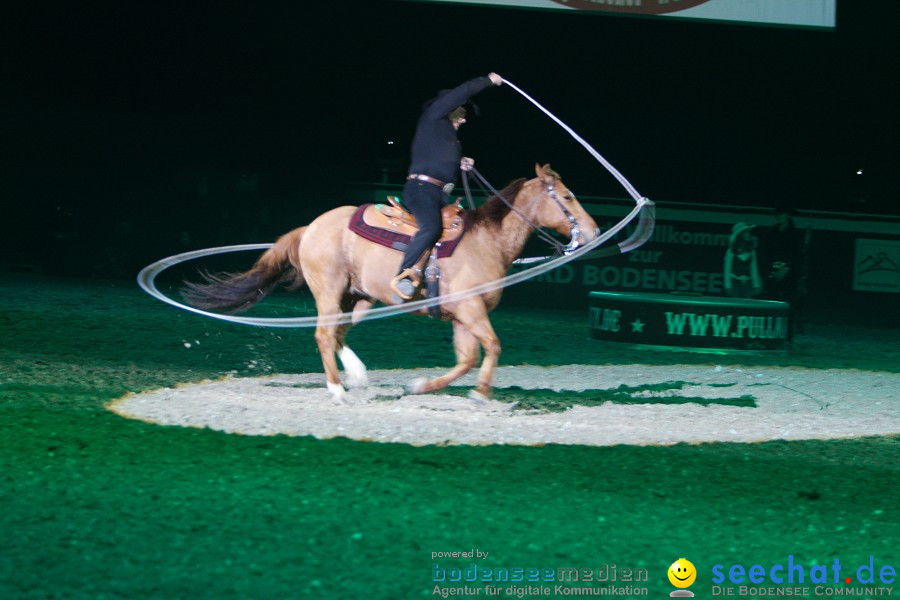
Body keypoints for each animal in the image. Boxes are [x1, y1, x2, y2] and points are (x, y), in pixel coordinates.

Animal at [182, 163, 596, 404]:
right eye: (568, 196)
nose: (592, 231)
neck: (486, 241)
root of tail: (311, 226)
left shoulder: (464, 318)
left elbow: (466, 359)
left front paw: (419, 386)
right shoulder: (471, 310)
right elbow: (491, 347)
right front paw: (480, 394)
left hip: (357, 297)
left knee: (338, 334)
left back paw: (357, 376)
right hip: (330, 291)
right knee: (324, 335)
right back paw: (337, 389)